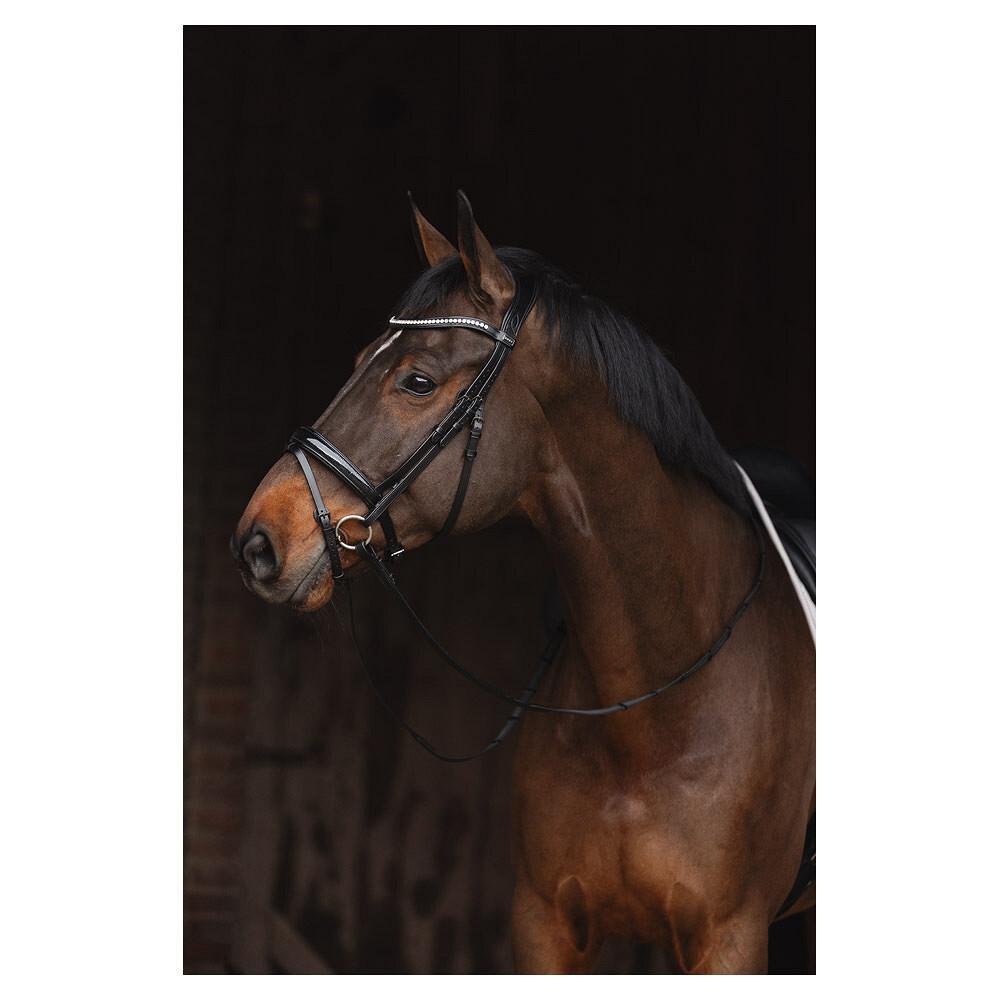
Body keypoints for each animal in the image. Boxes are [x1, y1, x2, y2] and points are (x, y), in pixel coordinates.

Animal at [233, 191, 815, 974]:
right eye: (359, 362)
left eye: (417, 380)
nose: (260, 541)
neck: (656, 710)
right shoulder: (545, 926)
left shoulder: (730, 938)